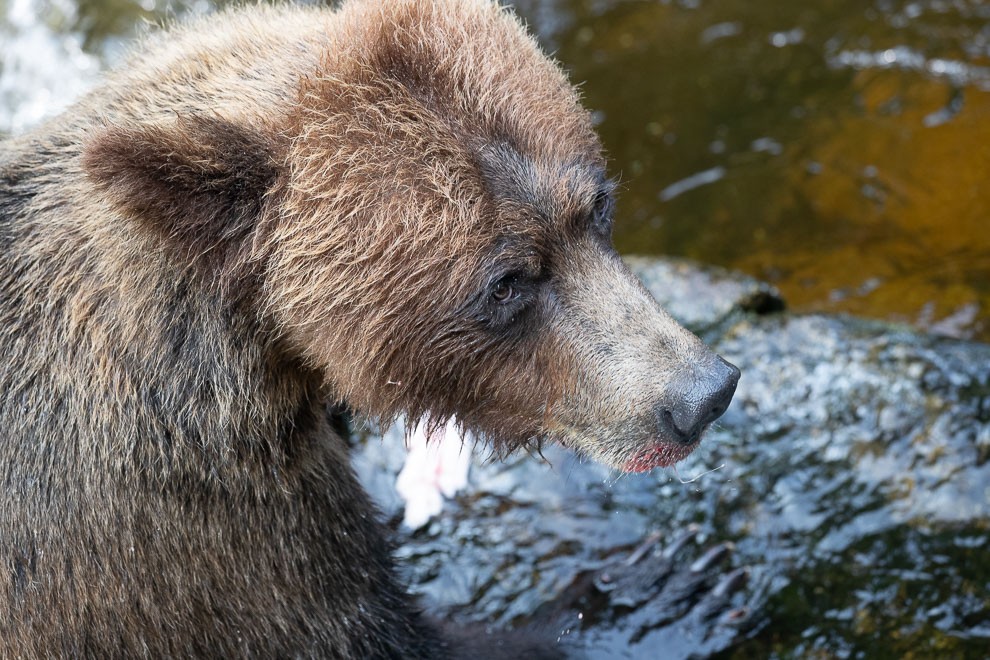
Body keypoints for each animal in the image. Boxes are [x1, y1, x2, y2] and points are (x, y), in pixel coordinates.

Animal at [0, 0, 740, 656]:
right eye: (506, 282)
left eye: (598, 206)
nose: (700, 394)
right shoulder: (181, 526)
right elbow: (354, 631)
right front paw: (643, 588)